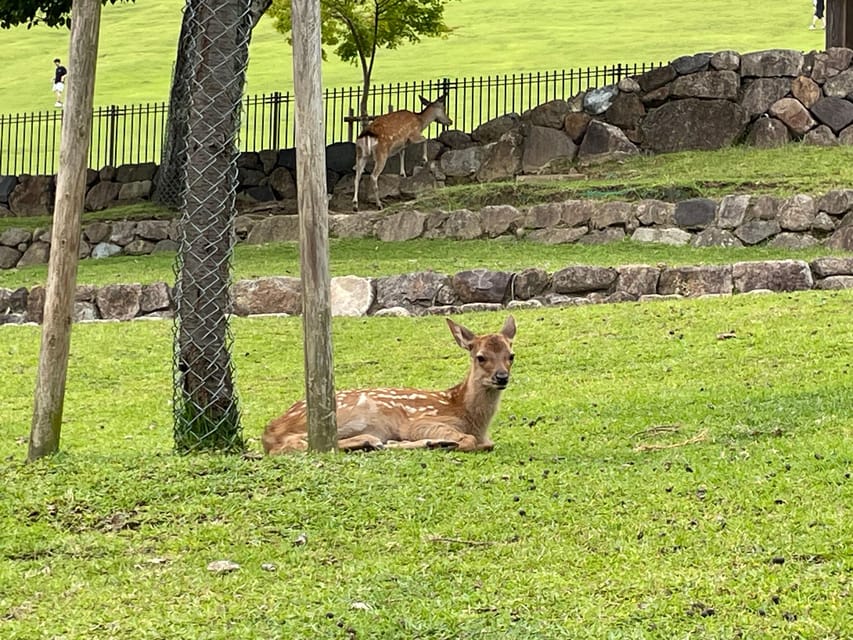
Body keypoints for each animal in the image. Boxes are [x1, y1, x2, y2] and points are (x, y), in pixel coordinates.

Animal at [262, 316, 512, 456]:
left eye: (511, 355)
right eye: (480, 357)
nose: (502, 377)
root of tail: (270, 430)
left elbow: (489, 443)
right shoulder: (421, 421)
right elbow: (470, 441)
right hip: (352, 413)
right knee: (296, 443)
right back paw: (372, 441)